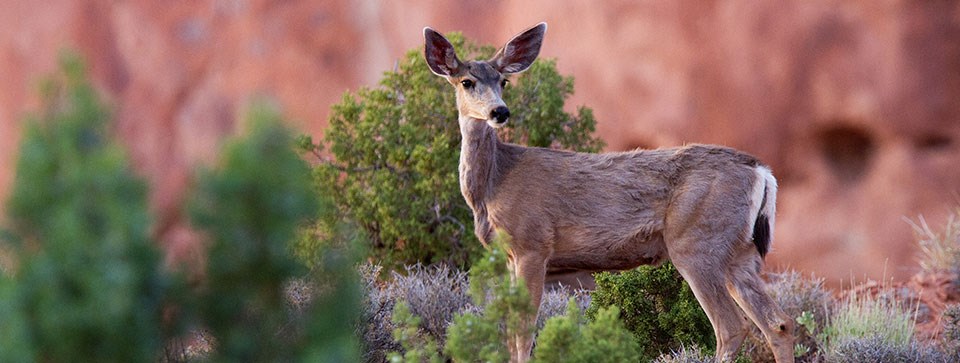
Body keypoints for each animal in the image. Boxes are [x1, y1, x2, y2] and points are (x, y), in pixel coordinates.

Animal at [426, 23, 796, 363]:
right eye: (467, 81)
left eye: (503, 81)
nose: (499, 112)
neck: (494, 183)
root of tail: (761, 171)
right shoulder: (507, 256)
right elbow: (509, 331)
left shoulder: (532, 244)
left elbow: (524, 331)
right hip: (739, 252)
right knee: (779, 323)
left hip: (696, 242)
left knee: (731, 327)